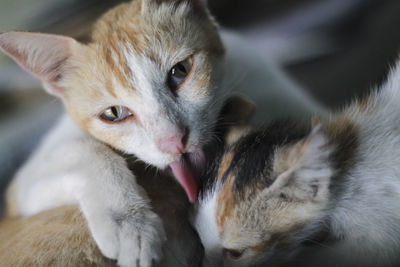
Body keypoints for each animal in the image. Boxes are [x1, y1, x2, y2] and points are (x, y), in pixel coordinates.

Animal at [0, 0, 324, 266]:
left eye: (181, 70)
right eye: (113, 114)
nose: (174, 140)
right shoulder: (20, 191)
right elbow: (82, 150)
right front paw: (130, 223)